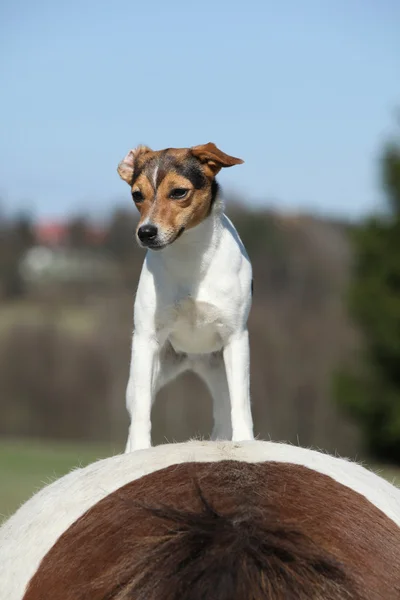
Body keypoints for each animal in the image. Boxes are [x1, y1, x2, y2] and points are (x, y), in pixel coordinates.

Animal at [117, 142, 253, 450]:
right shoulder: (145, 340)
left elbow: (241, 404)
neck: (189, 256)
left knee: (225, 410)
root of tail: (193, 358)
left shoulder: (236, 338)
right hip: (150, 371)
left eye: (179, 192)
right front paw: (141, 451)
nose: (146, 232)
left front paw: (246, 443)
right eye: (136, 195)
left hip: (221, 369)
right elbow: (141, 410)